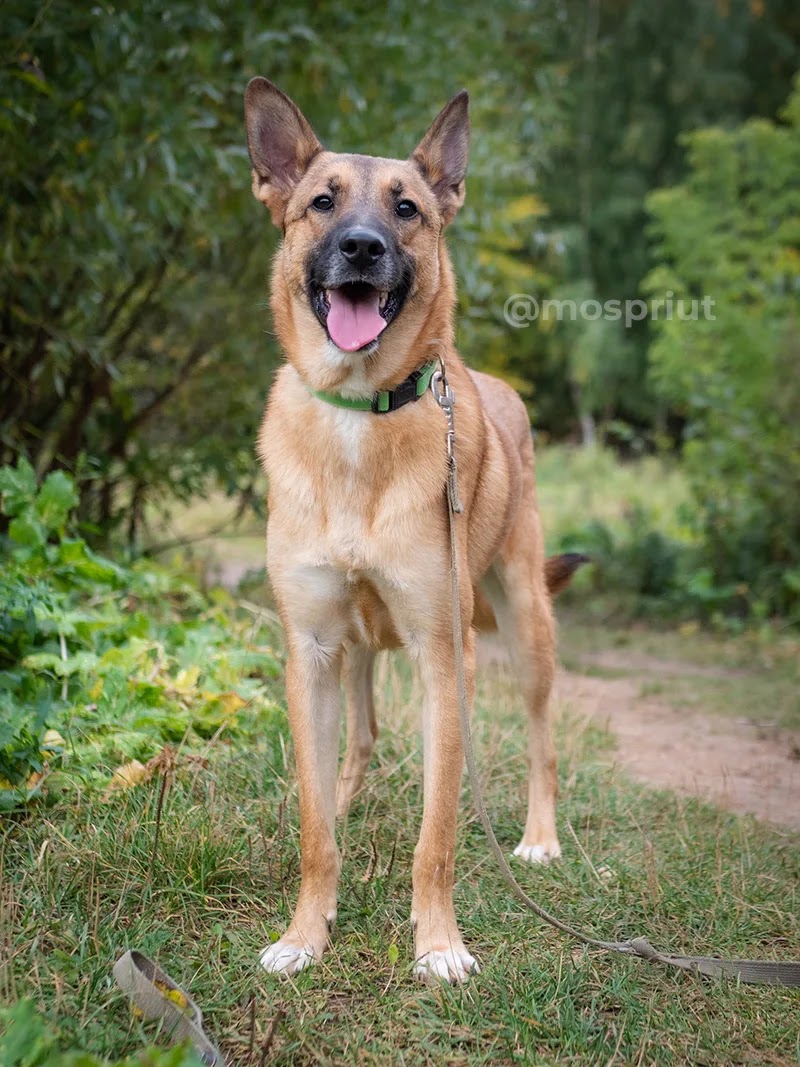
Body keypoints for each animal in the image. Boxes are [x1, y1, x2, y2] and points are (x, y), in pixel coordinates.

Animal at [243, 81, 584, 981]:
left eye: (408, 209)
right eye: (322, 202)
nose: (361, 247)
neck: (360, 413)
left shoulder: (443, 655)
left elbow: (438, 834)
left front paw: (438, 943)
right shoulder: (312, 651)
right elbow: (314, 825)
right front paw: (306, 932)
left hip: (526, 627)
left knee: (541, 740)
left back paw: (539, 838)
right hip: (356, 651)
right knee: (356, 745)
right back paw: (346, 802)